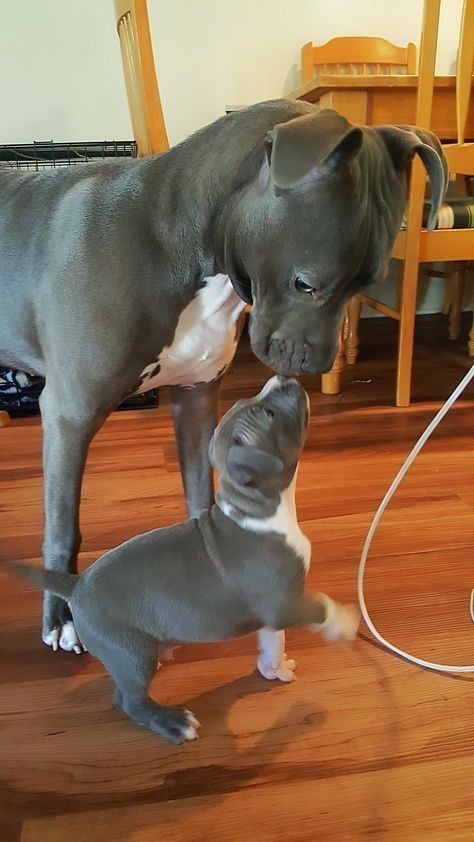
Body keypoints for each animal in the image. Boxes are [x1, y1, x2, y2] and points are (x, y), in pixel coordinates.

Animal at [0, 97, 446, 648]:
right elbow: (63, 526)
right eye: (305, 283)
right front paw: (61, 616)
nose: (319, 366)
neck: (178, 239)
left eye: (368, 283)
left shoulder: (195, 398)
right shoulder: (69, 415)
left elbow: (199, 491)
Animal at [9, 376, 358, 740]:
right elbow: (319, 605)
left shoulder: (269, 615)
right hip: (130, 653)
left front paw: (273, 668)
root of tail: (76, 585)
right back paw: (173, 723)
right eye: (269, 413)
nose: (284, 377)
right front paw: (344, 623)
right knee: (129, 700)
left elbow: (272, 640)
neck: (256, 511)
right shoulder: (284, 604)